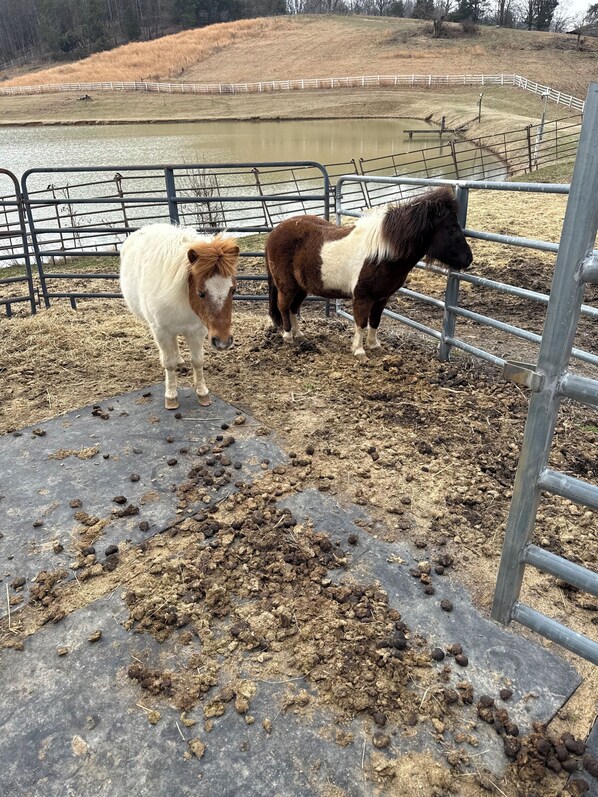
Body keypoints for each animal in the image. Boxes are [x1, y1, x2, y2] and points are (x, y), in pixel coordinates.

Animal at [120, 223, 239, 410]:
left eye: (232, 290)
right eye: (201, 293)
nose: (223, 342)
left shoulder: (197, 331)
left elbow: (197, 361)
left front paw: (202, 393)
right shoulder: (161, 331)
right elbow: (169, 364)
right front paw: (171, 396)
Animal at [265, 187, 473, 358]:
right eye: (452, 229)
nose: (468, 259)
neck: (381, 254)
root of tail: (275, 231)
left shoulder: (381, 297)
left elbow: (375, 321)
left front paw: (374, 345)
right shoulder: (362, 297)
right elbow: (361, 322)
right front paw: (359, 351)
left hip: (302, 287)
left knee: (293, 308)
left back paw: (300, 335)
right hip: (287, 286)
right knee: (283, 306)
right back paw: (288, 336)